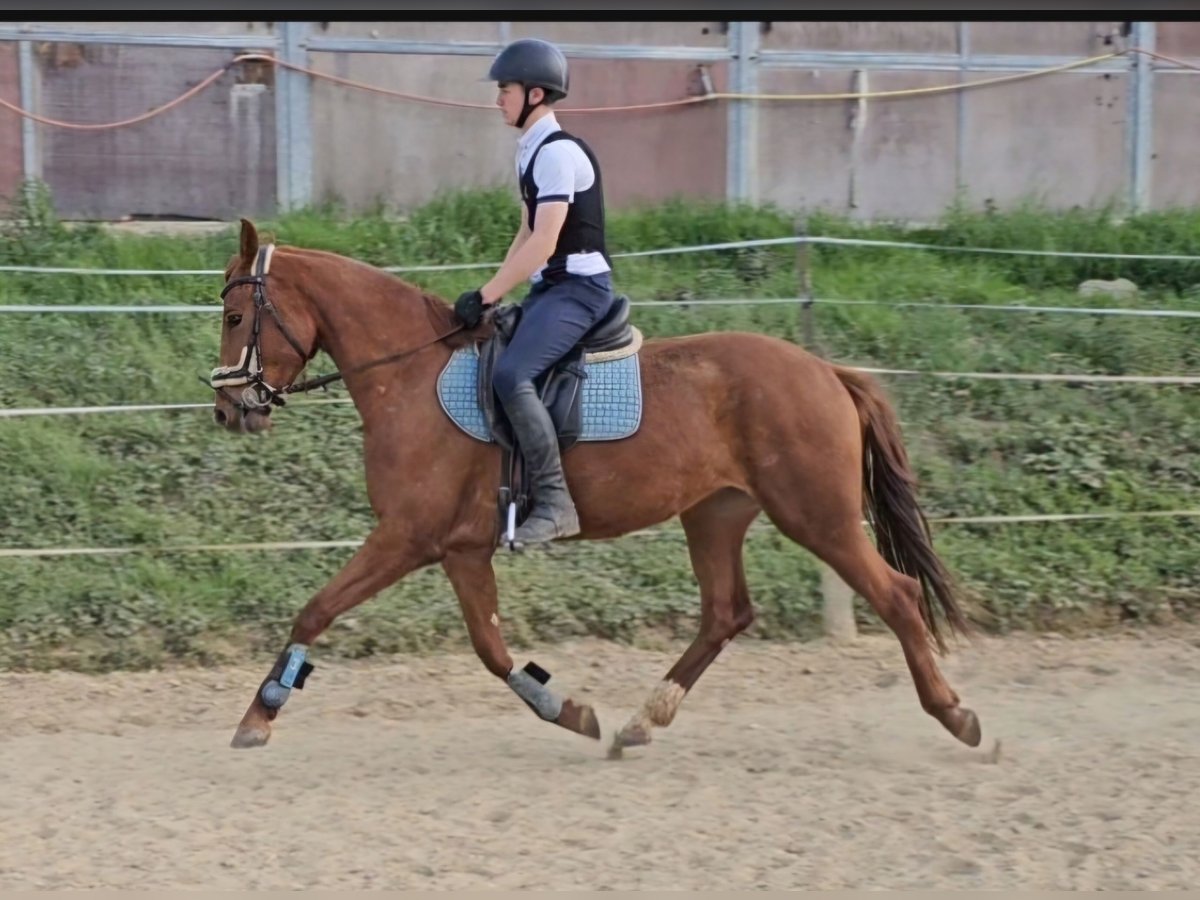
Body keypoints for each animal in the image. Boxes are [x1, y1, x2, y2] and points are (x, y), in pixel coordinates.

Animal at [211, 222, 979, 758]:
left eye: (234, 317)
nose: (228, 410)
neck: (410, 375)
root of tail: (825, 370)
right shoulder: (461, 550)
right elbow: (490, 648)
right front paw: (570, 711)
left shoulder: (407, 536)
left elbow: (317, 609)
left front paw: (258, 715)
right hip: (715, 515)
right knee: (725, 614)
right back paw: (642, 723)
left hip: (817, 516)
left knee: (896, 595)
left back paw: (956, 715)